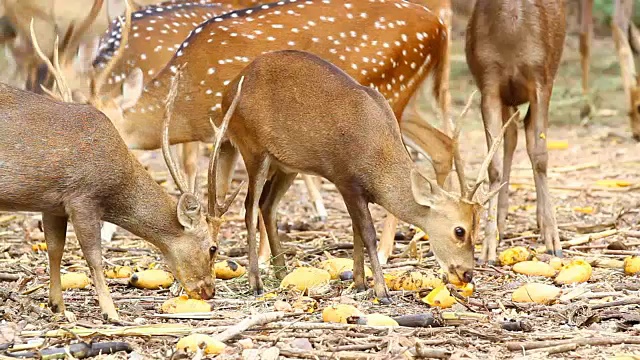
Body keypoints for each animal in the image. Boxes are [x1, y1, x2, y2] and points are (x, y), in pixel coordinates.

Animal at [215, 49, 516, 300]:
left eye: (476, 227)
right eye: (459, 230)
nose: (467, 273)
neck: (376, 159)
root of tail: (227, 93)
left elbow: (355, 230)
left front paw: (359, 282)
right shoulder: (345, 178)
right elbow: (367, 232)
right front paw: (381, 290)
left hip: (287, 165)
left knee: (267, 205)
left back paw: (281, 272)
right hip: (253, 149)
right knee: (249, 208)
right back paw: (256, 282)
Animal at [464, 0, 564, 264]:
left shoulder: (541, 79)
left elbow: (540, 156)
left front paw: (554, 240)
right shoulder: (489, 84)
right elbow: (493, 164)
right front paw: (488, 248)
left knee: (527, 133)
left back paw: (541, 222)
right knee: (512, 135)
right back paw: (500, 221)